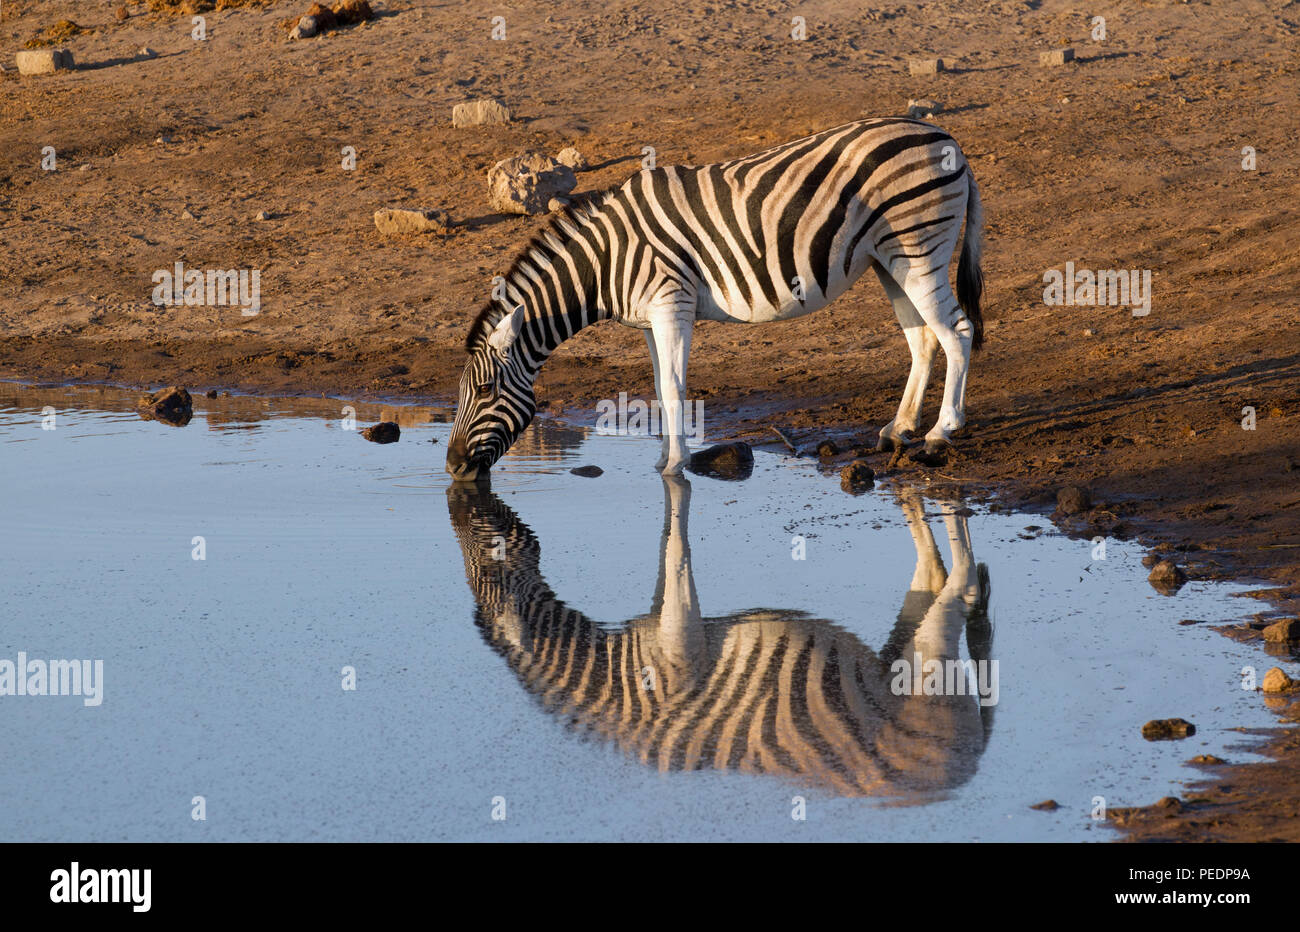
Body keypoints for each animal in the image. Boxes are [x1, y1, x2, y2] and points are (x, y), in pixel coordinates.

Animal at [446, 117, 985, 480]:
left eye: (486, 390)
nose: (451, 467)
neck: (606, 260)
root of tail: (948, 139)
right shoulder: (649, 319)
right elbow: (658, 384)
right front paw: (663, 457)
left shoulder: (671, 305)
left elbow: (673, 385)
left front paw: (675, 466)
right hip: (888, 260)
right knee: (923, 340)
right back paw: (899, 429)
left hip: (918, 248)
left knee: (958, 332)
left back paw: (940, 434)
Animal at [446, 478, 995, 798]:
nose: (459, 480)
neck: (617, 678)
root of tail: (967, 769)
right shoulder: (661, 618)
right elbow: (666, 555)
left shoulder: (680, 641)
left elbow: (677, 557)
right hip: (903, 656)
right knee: (932, 579)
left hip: (930, 668)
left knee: (960, 590)